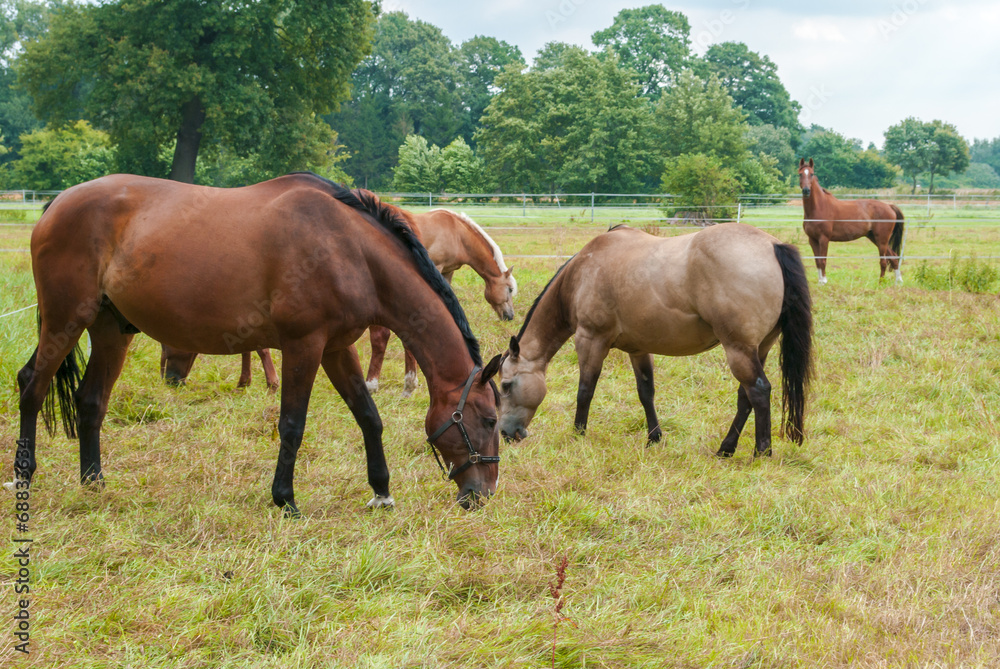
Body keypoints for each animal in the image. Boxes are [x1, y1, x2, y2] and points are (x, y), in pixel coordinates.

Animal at [13, 171, 500, 512]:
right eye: (491, 420)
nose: (483, 494)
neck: (347, 247)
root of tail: (59, 201)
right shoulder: (304, 345)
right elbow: (292, 424)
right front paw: (285, 499)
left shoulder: (336, 348)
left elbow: (368, 415)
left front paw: (381, 492)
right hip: (65, 320)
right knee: (31, 386)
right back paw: (24, 475)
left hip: (110, 330)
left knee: (91, 401)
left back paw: (93, 483)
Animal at [498, 224, 812, 460]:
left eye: (505, 385)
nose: (505, 433)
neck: (581, 273)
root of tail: (773, 246)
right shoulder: (638, 349)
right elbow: (645, 392)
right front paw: (654, 438)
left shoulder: (590, 340)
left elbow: (585, 390)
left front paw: (578, 434)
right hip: (759, 348)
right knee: (745, 397)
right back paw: (726, 449)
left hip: (738, 349)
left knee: (758, 391)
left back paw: (761, 452)